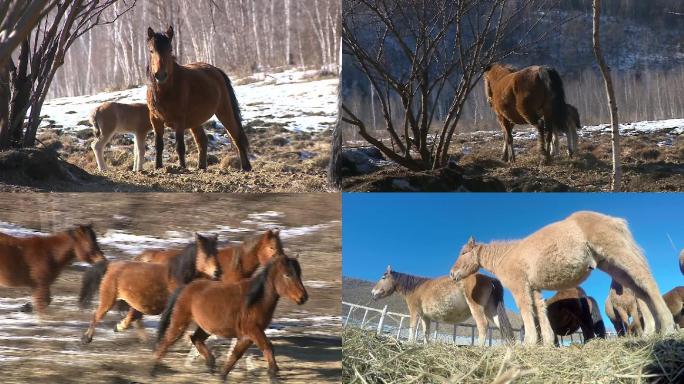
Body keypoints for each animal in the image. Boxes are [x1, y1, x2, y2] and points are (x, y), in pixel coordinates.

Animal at [79, 232, 220, 344]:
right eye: (205, 254)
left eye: (216, 253)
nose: (217, 272)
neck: (177, 275)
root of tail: (111, 265)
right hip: (109, 299)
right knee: (98, 315)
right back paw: (87, 338)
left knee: (133, 317)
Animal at [146, 26, 251, 170]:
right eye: (151, 51)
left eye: (170, 50)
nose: (160, 75)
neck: (166, 91)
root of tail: (216, 70)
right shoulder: (155, 120)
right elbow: (159, 145)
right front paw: (158, 167)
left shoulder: (179, 121)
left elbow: (180, 146)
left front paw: (182, 168)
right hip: (195, 121)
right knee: (202, 141)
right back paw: (201, 166)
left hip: (224, 111)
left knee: (236, 136)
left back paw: (246, 167)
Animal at [154, 254, 308, 380]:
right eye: (287, 275)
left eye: (299, 274)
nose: (303, 297)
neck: (254, 300)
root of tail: (185, 288)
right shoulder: (253, 330)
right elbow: (268, 347)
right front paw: (274, 374)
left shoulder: (247, 336)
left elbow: (236, 354)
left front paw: (222, 376)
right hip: (180, 322)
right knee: (166, 342)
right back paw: (153, 370)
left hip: (206, 327)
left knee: (195, 339)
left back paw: (211, 364)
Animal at [368, 266, 512, 344]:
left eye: (383, 277)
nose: (373, 293)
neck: (416, 288)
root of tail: (489, 278)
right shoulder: (425, 317)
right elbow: (426, 332)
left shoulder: (415, 312)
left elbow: (412, 328)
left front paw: (410, 343)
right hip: (491, 310)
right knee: (502, 327)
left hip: (477, 308)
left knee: (483, 325)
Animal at [448, 212, 672, 346]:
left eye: (463, 253)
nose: (452, 273)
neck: (508, 255)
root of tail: (615, 220)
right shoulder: (534, 288)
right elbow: (539, 310)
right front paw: (547, 343)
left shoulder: (520, 287)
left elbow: (526, 310)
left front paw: (529, 343)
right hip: (613, 267)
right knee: (638, 290)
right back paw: (650, 332)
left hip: (619, 254)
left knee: (646, 281)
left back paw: (668, 326)